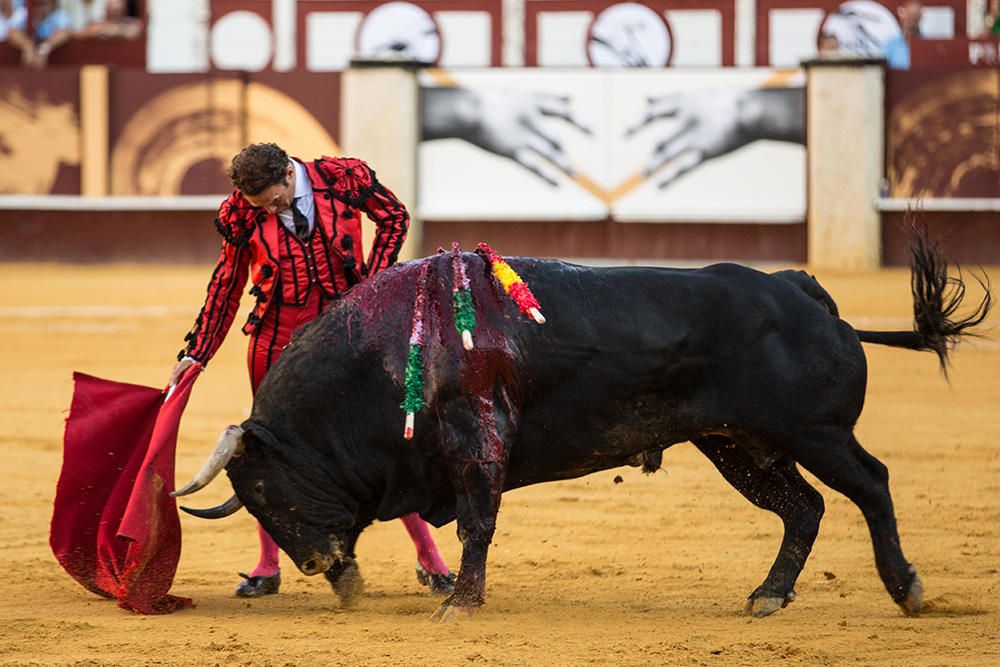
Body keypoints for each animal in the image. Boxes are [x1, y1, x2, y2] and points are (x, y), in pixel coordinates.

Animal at [176, 235, 988, 620]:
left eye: (265, 490)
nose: (319, 564)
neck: (381, 356)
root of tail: (803, 290)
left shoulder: (480, 440)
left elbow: (477, 522)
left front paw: (458, 602)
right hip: (739, 446)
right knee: (805, 508)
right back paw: (767, 595)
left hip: (815, 432)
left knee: (870, 485)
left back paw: (907, 588)